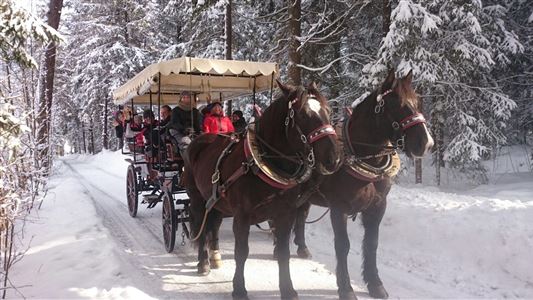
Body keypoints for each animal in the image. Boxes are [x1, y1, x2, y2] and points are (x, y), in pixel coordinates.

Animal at [183, 81, 340, 298]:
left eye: (328, 111)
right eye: (302, 115)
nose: (333, 158)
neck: (262, 163)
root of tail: (197, 141)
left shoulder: (285, 214)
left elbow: (283, 252)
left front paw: (288, 289)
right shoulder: (242, 216)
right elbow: (241, 252)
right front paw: (239, 289)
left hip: (216, 201)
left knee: (212, 226)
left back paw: (214, 257)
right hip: (198, 199)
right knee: (201, 227)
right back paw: (203, 262)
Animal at [290, 69, 432, 298]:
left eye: (418, 101)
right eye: (397, 105)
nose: (426, 143)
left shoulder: (378, 206)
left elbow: (372, 244)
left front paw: (375, 284)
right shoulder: (339, 208)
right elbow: (343, 245)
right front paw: (346, 288)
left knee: (301, 215)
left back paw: (302, 247)